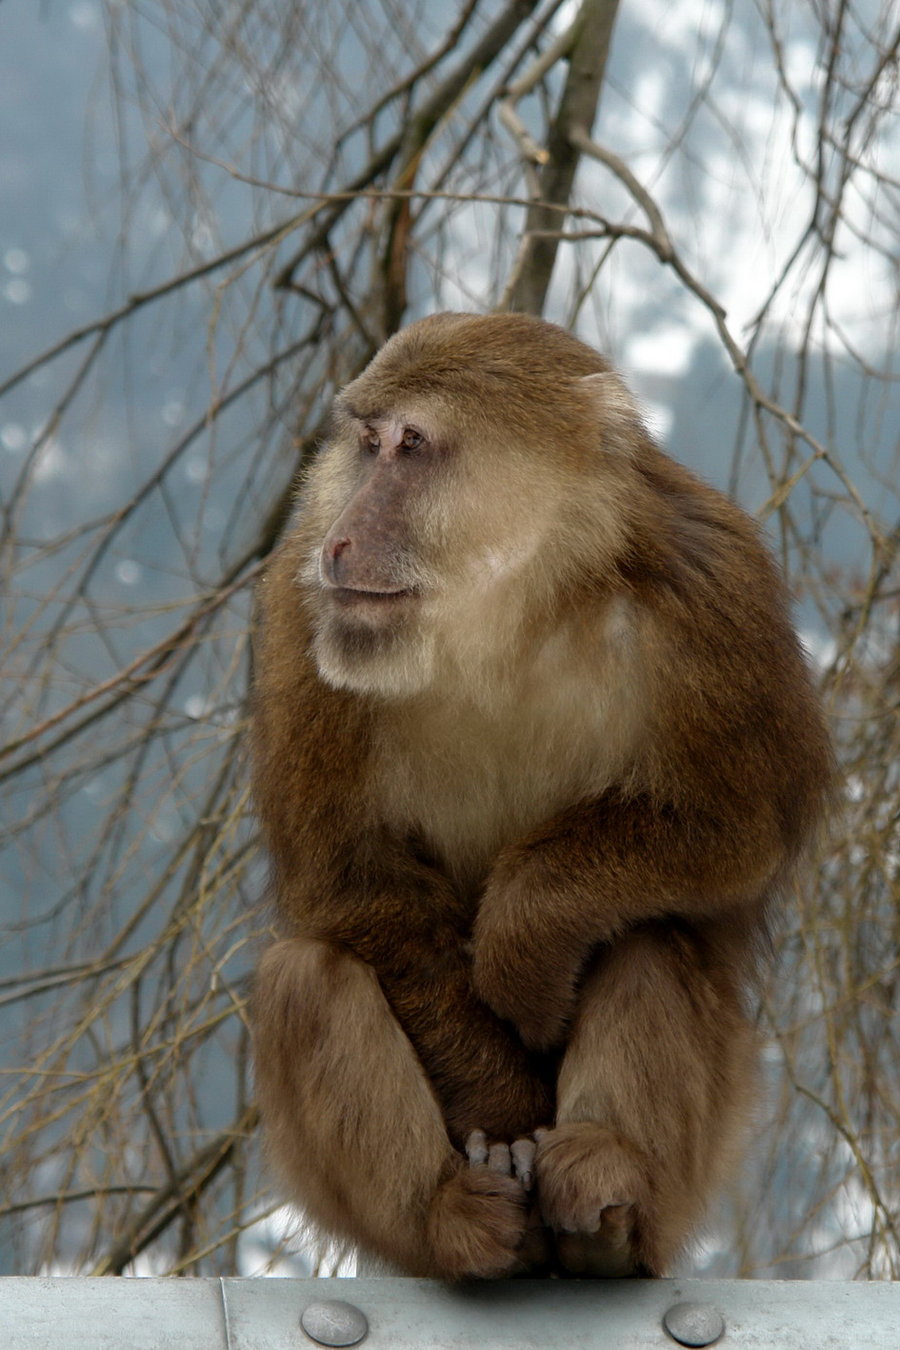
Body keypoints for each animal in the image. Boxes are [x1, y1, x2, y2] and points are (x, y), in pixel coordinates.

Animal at [249, 310, 836, 1279]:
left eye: (411, 445)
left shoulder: (714, 584)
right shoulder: (305, 614)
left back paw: (604, 1204)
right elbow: (350, 878)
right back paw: (455, 1217)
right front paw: (504, 1110)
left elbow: (738, 827)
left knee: (653, 939)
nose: (339, 539)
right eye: (367, 444)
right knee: (305, 979)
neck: (503, 609)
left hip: (696, 1162)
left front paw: (523, 949)